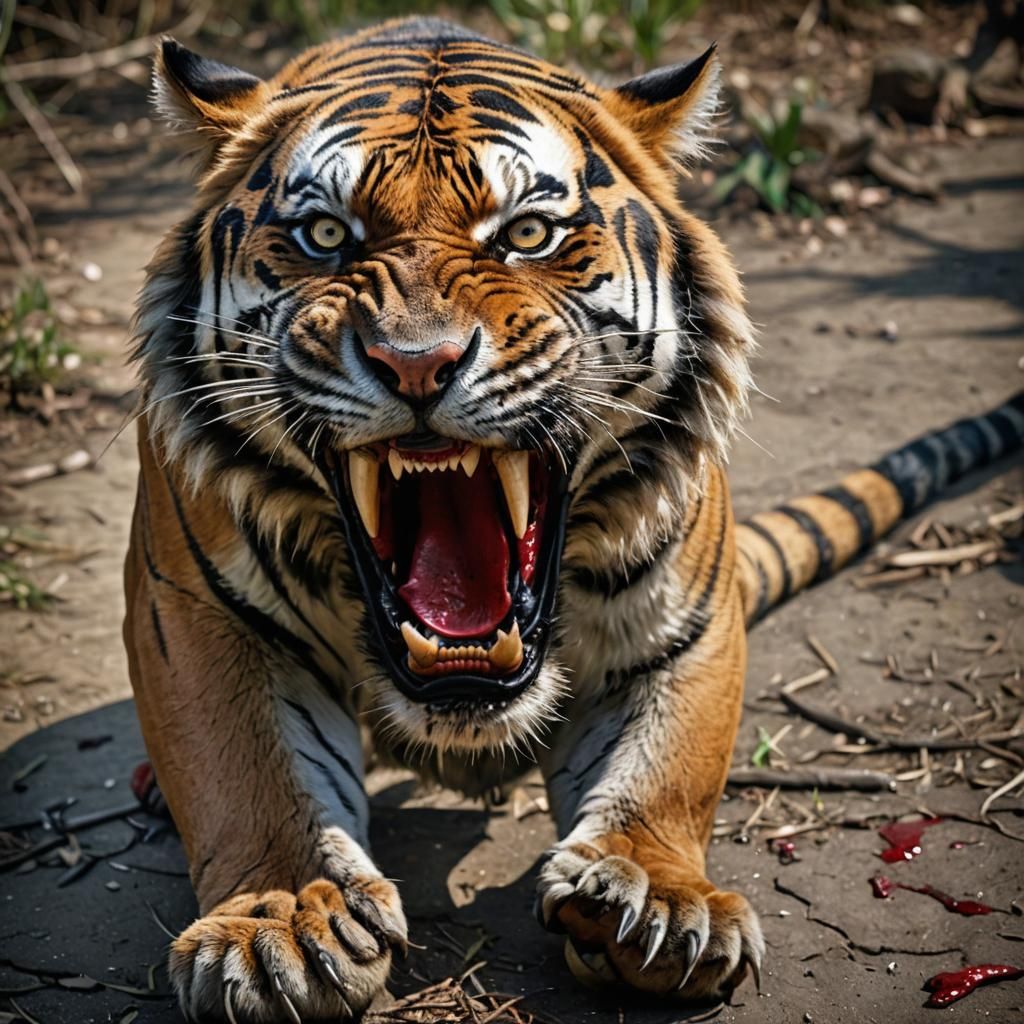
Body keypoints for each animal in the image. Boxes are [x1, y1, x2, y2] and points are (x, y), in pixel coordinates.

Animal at [123, 16, 1024, 1022]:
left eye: (526, 234)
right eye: (324, 236)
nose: (416, 362)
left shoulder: (689, 620)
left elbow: (667, 766)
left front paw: (658, 899)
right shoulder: (198, 618)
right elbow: (248, 775)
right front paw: (280, 920)